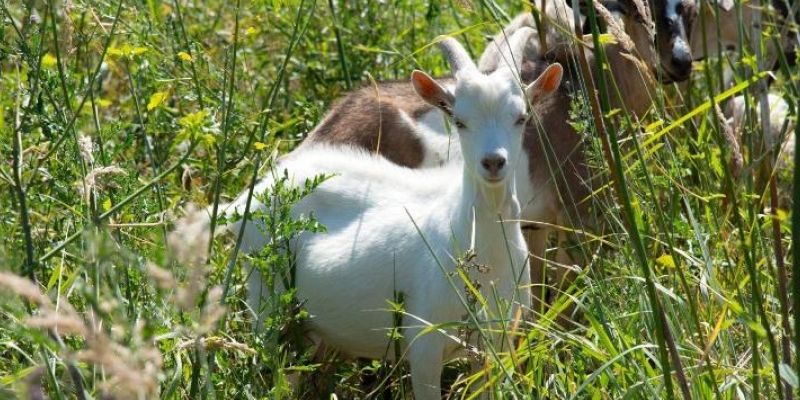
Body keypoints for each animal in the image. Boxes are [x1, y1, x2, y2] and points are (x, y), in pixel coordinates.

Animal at [188, 30, 564, 396]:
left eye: (521, 117)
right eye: (459, 121)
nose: (493, 162)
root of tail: (249, 197)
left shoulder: (495, 344)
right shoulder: (424, 342)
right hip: (267, 298)